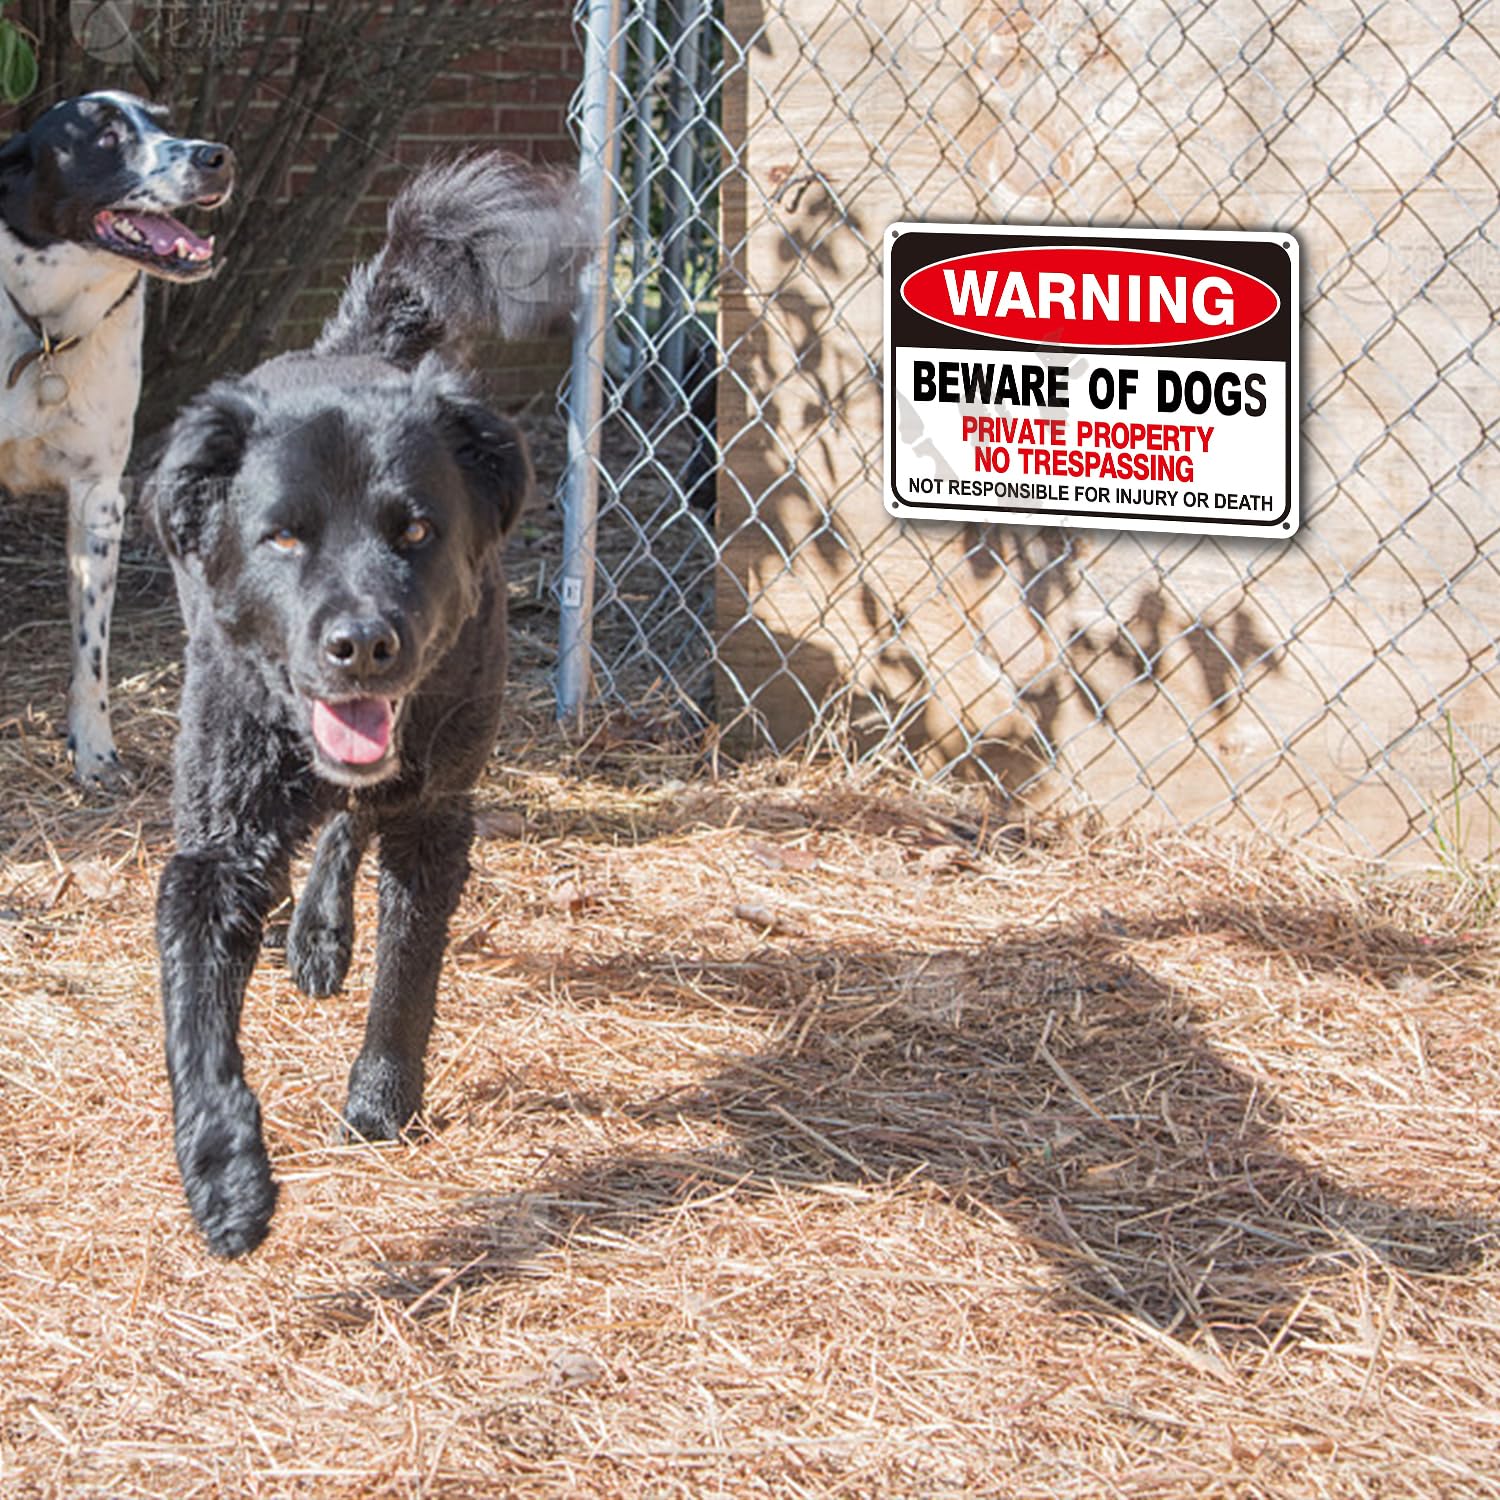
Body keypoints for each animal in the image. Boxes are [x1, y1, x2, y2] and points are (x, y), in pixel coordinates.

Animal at [147, 158, 579, 1254]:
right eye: (283, 536)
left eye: (416, 530)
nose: (363, 645)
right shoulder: (214, 849)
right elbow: (196, 1018)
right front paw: (225, 1176)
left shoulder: (437, 821)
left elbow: (408, 972)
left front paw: (383, 1100)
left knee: (351, 823)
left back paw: (322, 932)